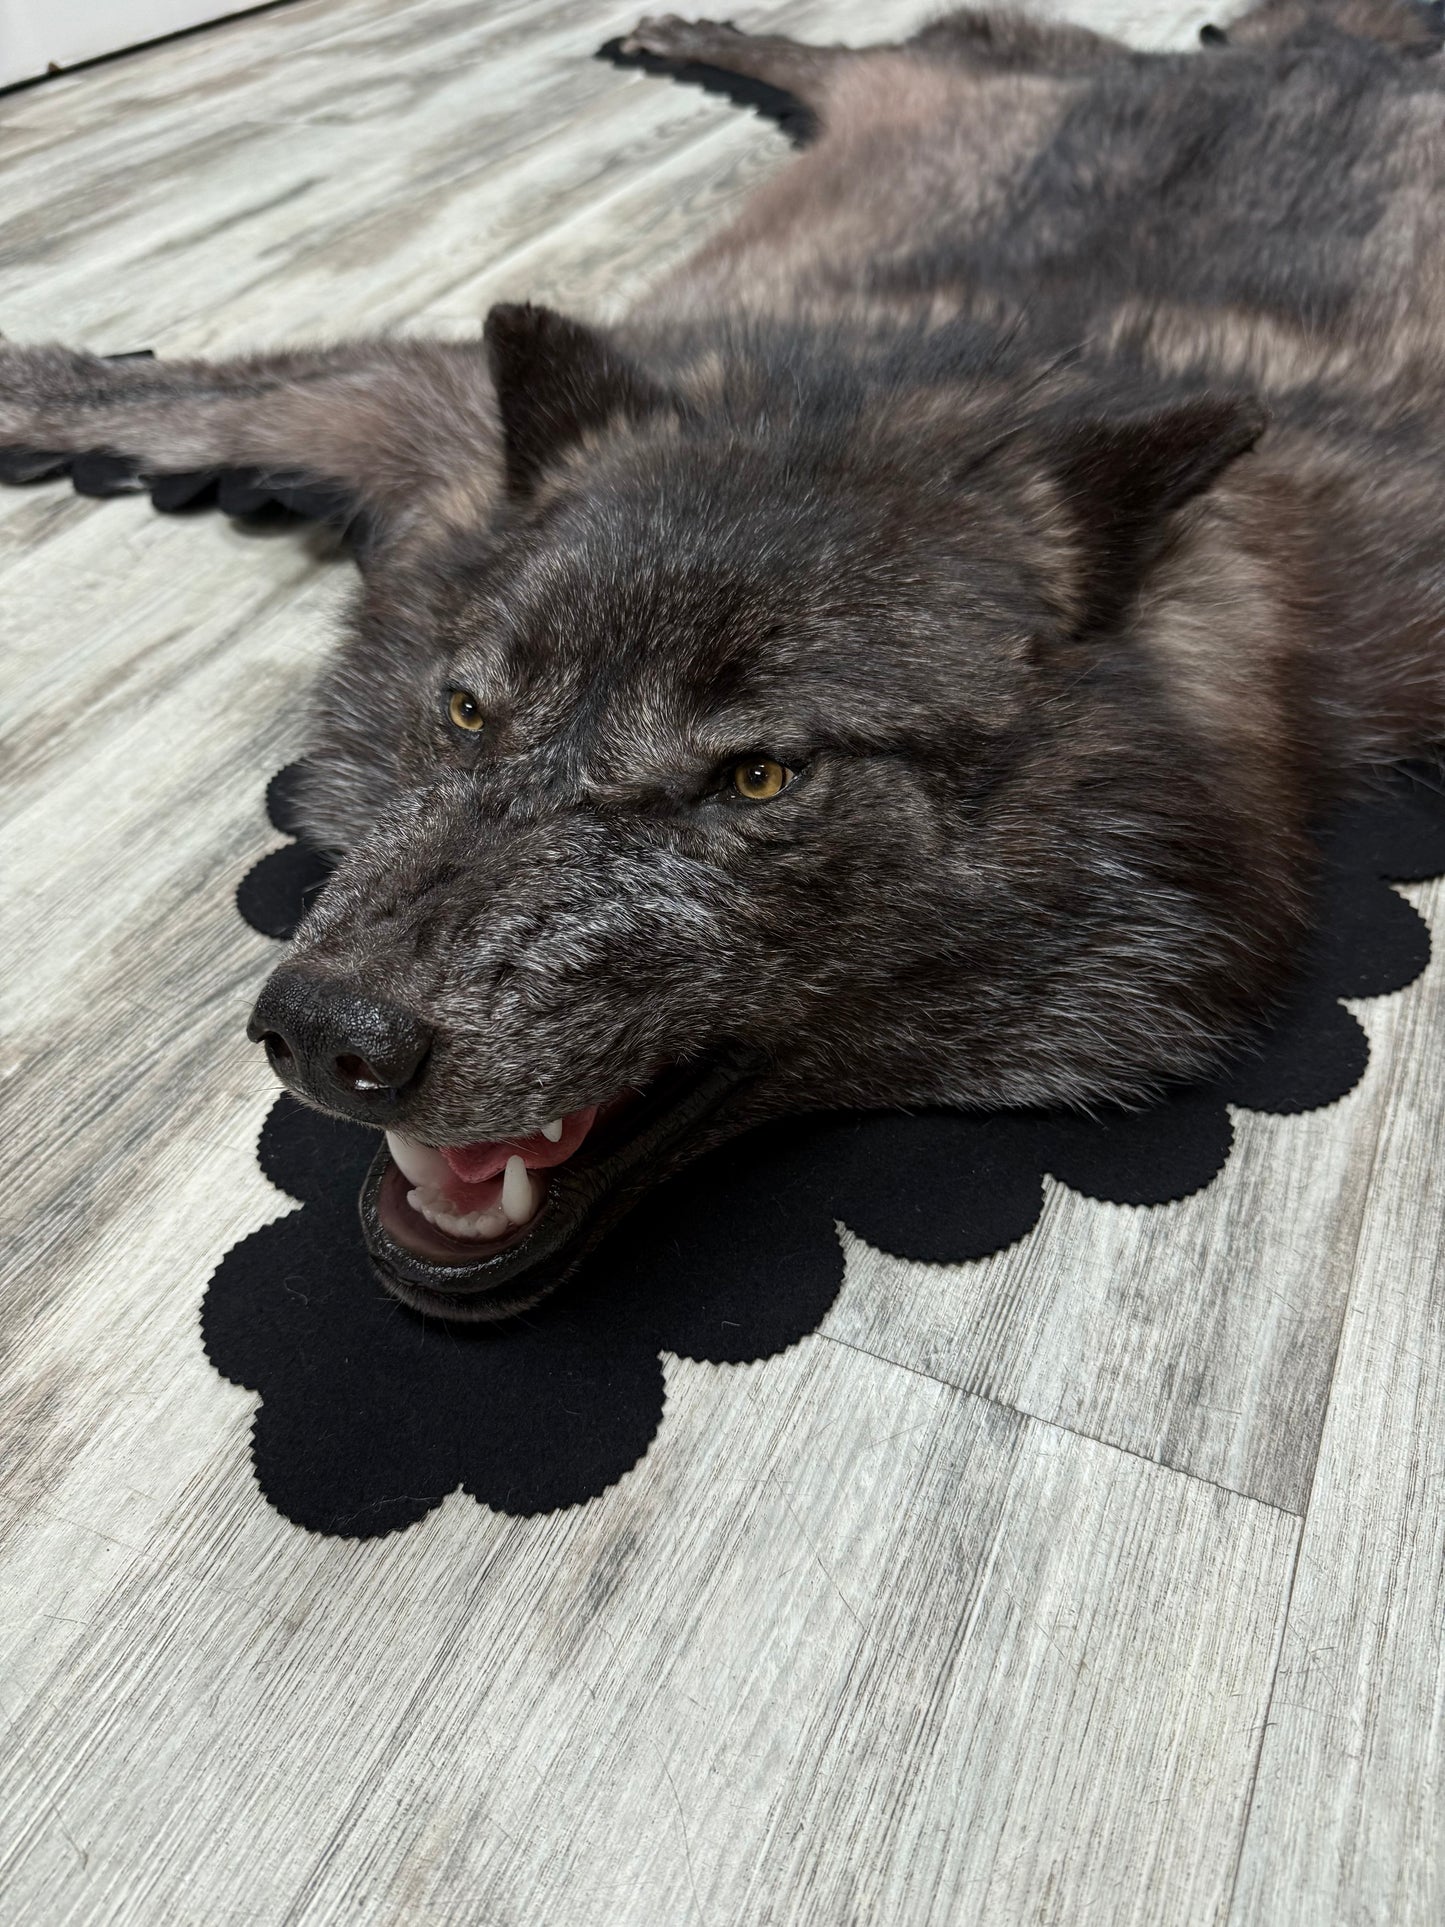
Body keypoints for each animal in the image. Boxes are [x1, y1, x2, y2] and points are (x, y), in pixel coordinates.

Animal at [4, 0, 1445, 1318]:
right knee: (910, 46)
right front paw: (37, 384)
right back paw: (694, 34)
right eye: (465, 709)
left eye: (757, 777)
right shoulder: (425, 413)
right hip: (933, 94)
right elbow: (181, 395)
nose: (322, 1035)